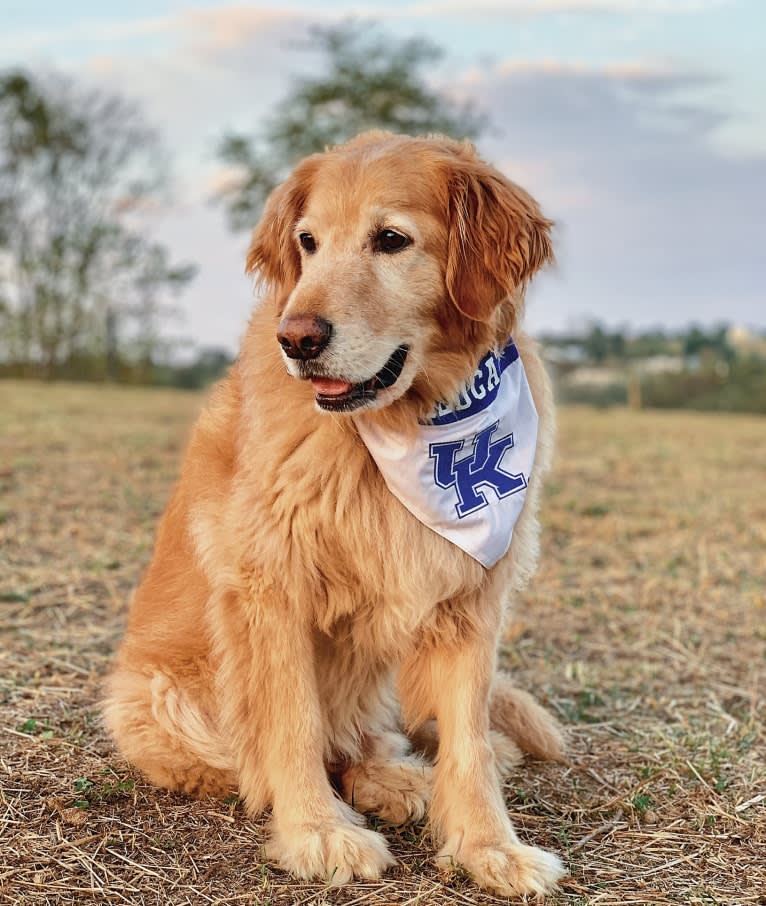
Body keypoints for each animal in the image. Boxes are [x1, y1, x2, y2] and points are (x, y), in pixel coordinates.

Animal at [105, 131, 568, 892]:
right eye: (308, 242)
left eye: (391, 239)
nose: (297, 338)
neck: (406, 421)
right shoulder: (271, 587)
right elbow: (292, 725)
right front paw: (317, 833)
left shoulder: (469, 593)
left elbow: (467, 738)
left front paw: (488, 846)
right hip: (166, 696)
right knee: (276, 752)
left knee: (366, 737)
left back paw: (400, 778)